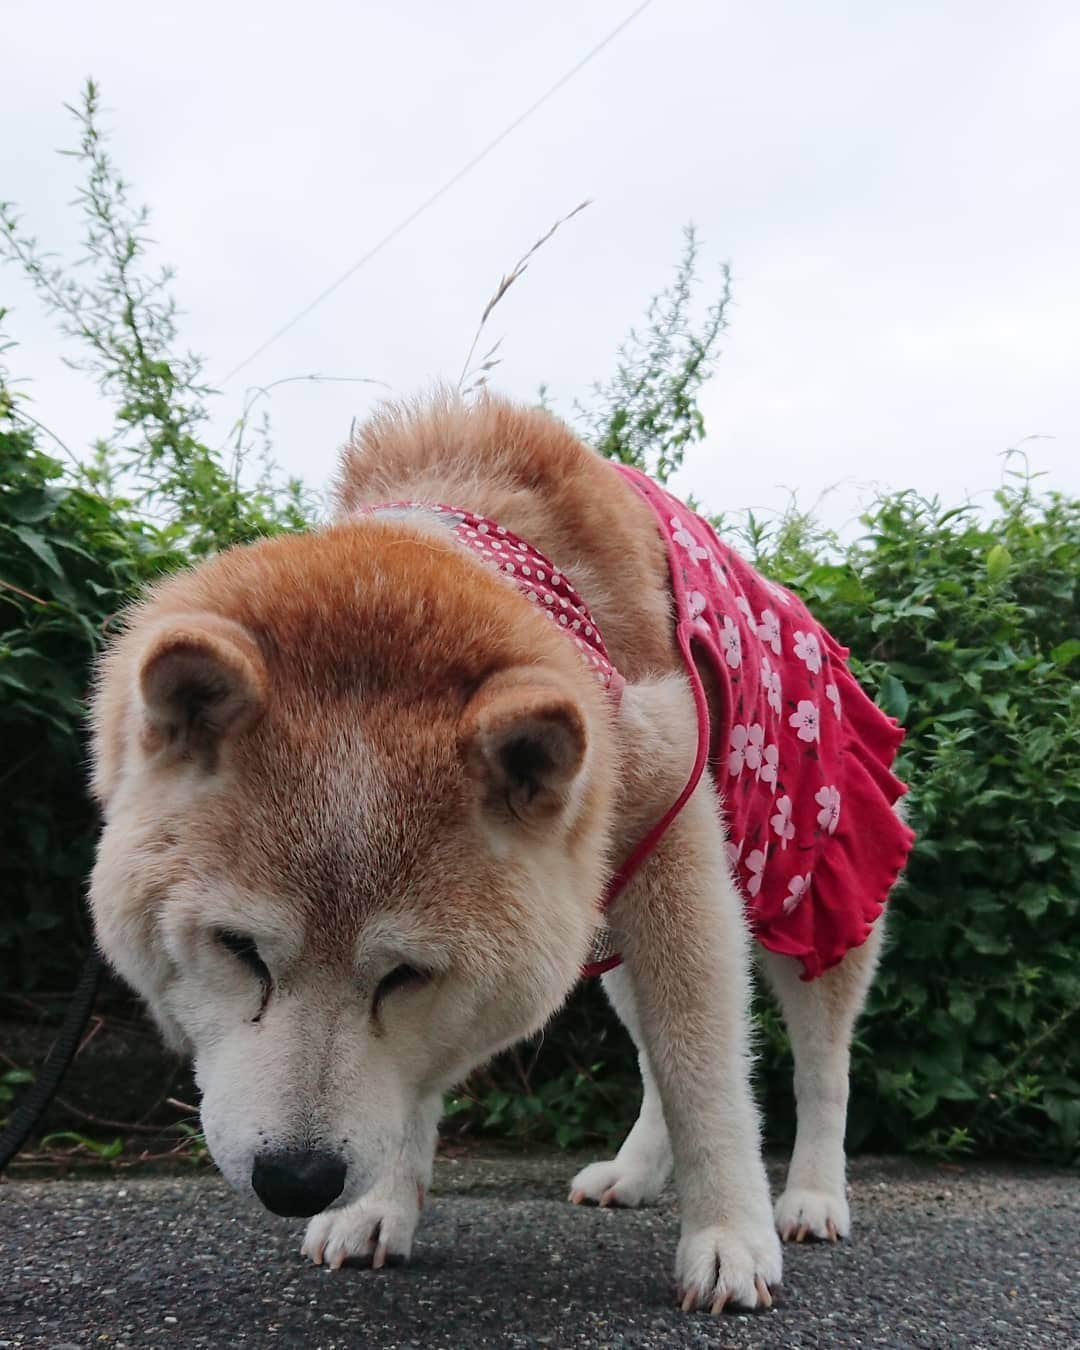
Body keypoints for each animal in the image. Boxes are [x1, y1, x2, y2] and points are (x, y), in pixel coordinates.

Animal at [88, 394, 912, 1317]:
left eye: (406, 975)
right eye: (238, 950)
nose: (296, 1180)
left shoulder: (684, 857)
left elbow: (705, 1072)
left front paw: (730, 1238)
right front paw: (376, 1209)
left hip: (814, 892)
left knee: (820, 1068)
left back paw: (812, 1197)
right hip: (612, 928)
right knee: (652, 1050)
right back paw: (634, 1172)